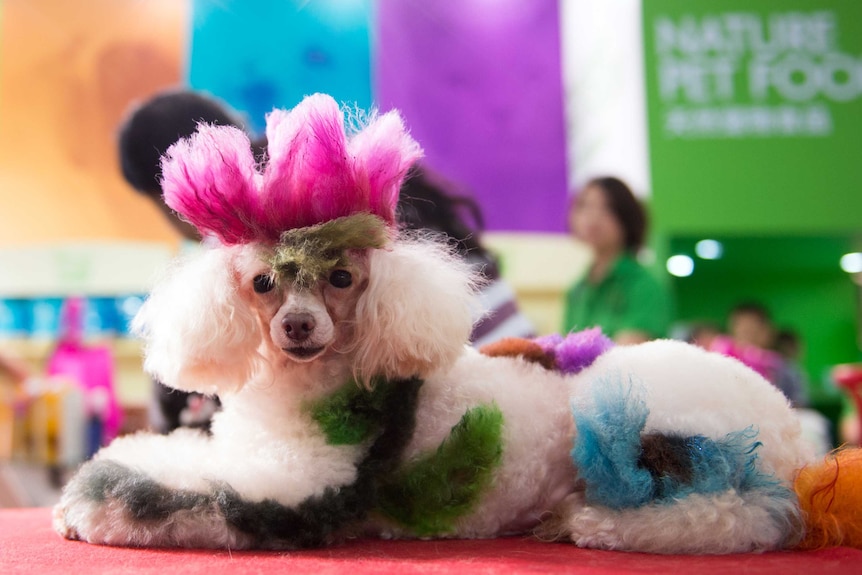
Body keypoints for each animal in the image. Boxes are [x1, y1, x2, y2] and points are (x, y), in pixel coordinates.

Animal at [57, 94, 820, 552]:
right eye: (263, 282)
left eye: (342, 279)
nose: (299, 327)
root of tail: (787, 426)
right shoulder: (242, 448)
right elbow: (162, 456)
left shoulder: (294, 485)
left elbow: (165, 493)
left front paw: (87, 506)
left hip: (657, 426)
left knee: (739, 517)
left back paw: (593, 521)